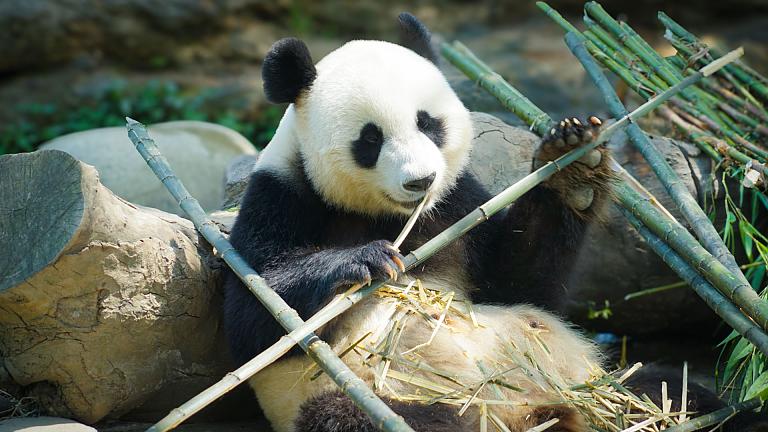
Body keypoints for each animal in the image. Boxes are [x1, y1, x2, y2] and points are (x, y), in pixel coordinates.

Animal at [223, 13, 766, 432]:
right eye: (370, 140)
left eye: (427, 122)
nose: (420, 181)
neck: (389, 214)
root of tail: (541, 413)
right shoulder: (280, 197)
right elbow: (255, 322)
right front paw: (365, 260)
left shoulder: (458, 204)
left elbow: (520, 285)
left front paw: (572, 169)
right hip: (390, 399)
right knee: (353, 417)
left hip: (599, 384)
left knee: (669, 388)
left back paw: (734, 411)